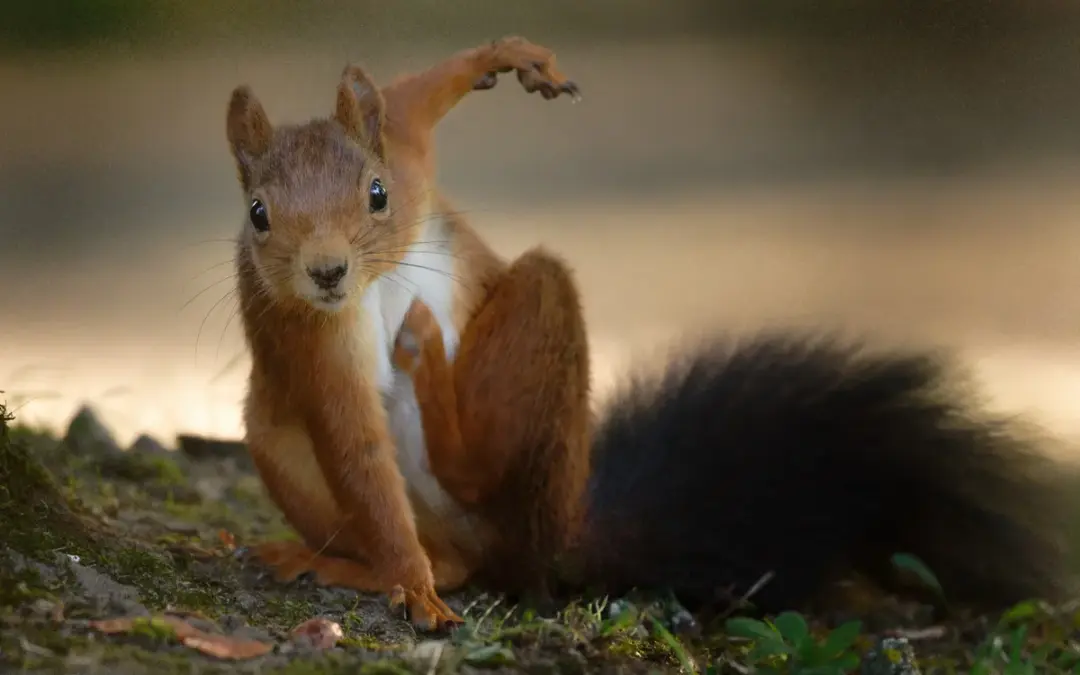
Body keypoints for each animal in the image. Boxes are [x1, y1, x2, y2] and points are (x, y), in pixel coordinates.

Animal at [227, 37, 1074, 631]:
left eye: (376, 195)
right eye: (259, 214)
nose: (327, 272)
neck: (370, 283)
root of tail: (557, 534)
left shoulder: (407, 161)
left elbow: (413, 101)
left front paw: (506, 56)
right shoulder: (311, 343)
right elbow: (357, 450)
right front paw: (409, 584)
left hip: (539, 353)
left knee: (488, 476)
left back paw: (431, 367)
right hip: (281, 438)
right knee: (452, 554)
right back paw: (360, 561)